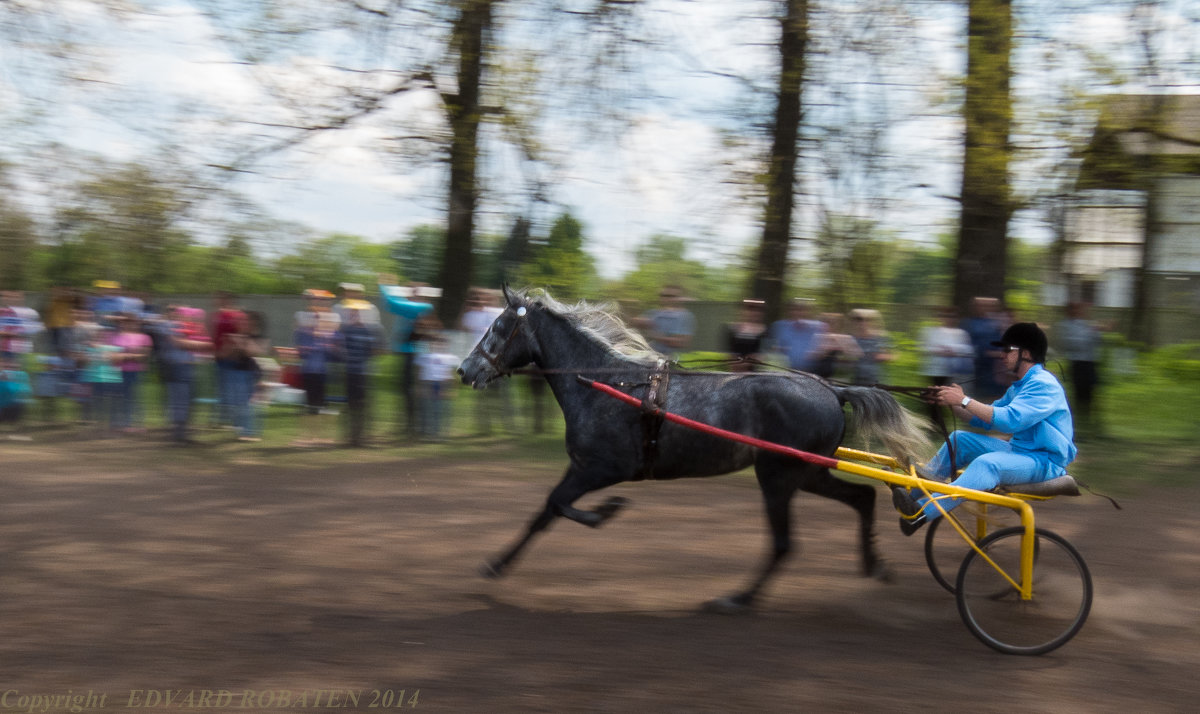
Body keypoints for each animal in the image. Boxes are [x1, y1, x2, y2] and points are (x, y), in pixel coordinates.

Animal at [458, 288, 926, 612]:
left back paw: (737, 599)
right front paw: (496, 564)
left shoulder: (602, 468)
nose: (464, 370)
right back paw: (874, 564)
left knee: (783, 543)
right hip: (806, 472)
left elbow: (557, 504)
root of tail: (832, 389)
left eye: (497, 328)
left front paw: (604, 511)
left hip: (778, 477)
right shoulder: (581, 467)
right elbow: (545, 511)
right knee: (862, 497)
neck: (605, 383)